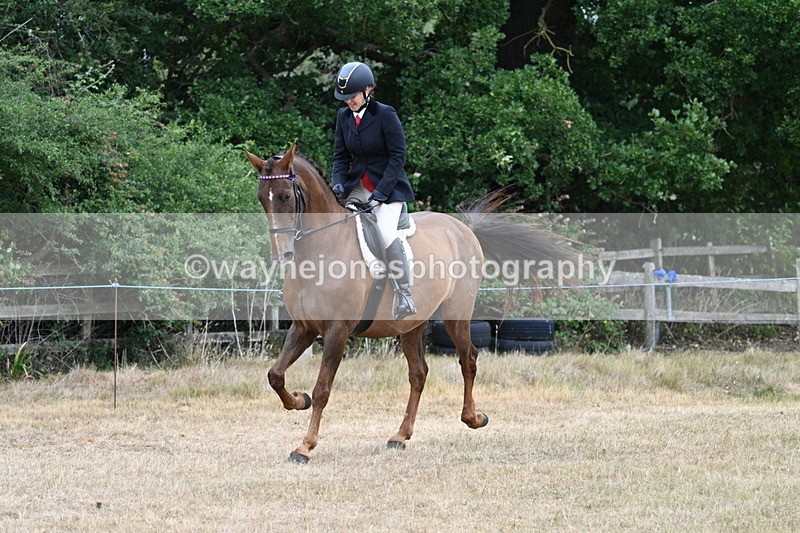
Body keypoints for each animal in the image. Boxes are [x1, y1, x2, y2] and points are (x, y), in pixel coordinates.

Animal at [245, 142, 574, 463]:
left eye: (286, 196)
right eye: (262, 199)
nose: (282, 254)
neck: (322, 248)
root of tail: (462, 228)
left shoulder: (337, 330)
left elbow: (323, 389)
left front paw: (305, 447)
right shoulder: (304, 327)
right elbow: (275, 375)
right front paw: (299, 400)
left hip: (456, 314)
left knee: (468, 358)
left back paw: (473, 418)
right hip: (412, 323)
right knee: (419, 373)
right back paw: (400, 436)